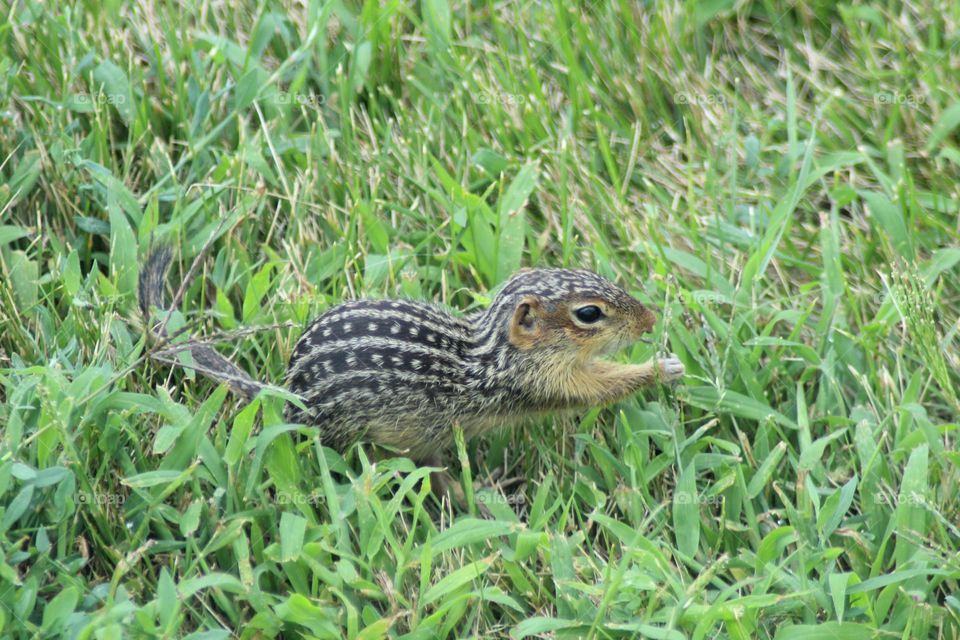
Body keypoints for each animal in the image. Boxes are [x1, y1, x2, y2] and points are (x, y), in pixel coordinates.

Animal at [139, 248, 685, 502]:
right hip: (402, 439)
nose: (650, 319)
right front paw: (661, 368)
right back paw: (482, 495)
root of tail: (291, 394)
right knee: (433, 478)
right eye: (589, 314)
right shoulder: (538, 384)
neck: (493, 350)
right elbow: (595, 386)